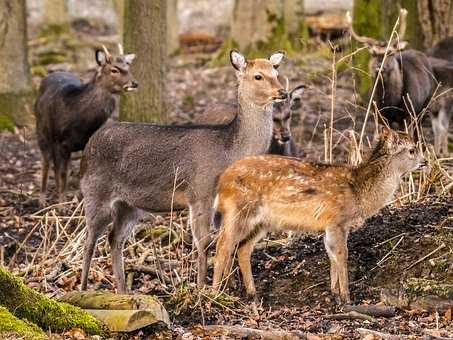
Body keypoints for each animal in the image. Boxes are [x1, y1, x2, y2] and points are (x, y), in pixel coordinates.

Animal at [34, 43, 137, 203]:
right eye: (114, 69)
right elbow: (62, 173)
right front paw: (62, 203)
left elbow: (81, 172)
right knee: (46, 162)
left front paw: (80, 200)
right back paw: (42, 198)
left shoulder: (85, 142)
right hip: (42, 131)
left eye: (128, 67)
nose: (134, 83)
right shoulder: (61, 142)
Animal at [81, 48, 286, 292]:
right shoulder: (200, 193)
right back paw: (82, 288)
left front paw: (228, 287)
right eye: (258, 76)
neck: (229, 151)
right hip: (95, 193)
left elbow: (226, 241)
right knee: (90, 240)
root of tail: (89, 145)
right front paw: (202, 288)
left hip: (129, 205)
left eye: (276, 72)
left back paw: (123, 291)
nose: (283, 92)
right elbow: (204, 243)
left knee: (114, 238)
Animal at [212, 127, 424, 302]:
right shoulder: (337, 221)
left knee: (242, 248)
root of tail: (221, 183)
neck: (358, 192)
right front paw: (346, 298)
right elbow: (342, 254)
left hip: (261, 222)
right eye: (412, 150)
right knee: (222, 246)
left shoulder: (331, 226)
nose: (425, 161)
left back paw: (251, 293)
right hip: (238, 210)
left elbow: (332, 254)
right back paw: (215, 292)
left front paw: (335, 293)